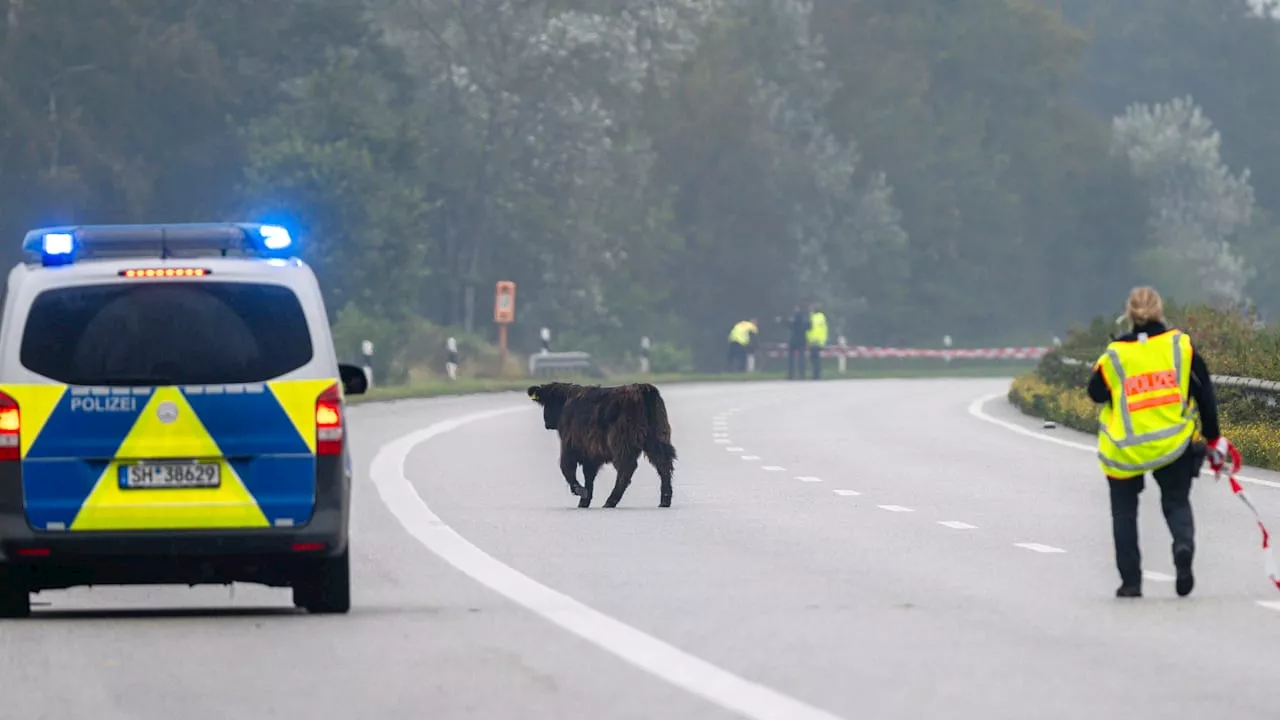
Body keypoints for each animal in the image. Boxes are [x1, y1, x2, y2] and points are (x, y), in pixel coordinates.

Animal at [527, 379, 680, 507]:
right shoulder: (590, 451)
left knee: (626, 468)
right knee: (664, 464)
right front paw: (584, 500)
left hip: (621, 442)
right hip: (658, 437)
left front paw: (580, 491)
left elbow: (567, 468)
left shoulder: (570, 444)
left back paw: (610, 501)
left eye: (546, 403)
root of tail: (642, 388)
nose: (547, 422)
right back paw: (665, 500)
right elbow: (588, 475)